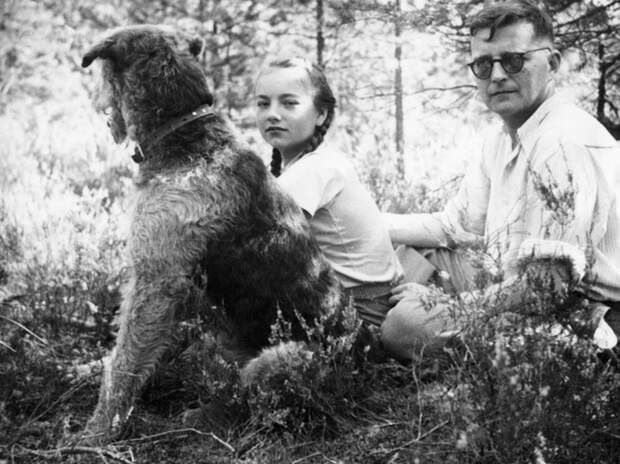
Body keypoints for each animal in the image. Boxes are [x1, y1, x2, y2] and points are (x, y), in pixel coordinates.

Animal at [79, 24, 343, 444]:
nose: (102, 112)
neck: (186, 134)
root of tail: (363, 360)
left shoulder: (157, 277)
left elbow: (123, 363)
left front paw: (98, 431)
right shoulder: (175, 287)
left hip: (282, 359)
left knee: (248, 402)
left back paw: (201, 418)